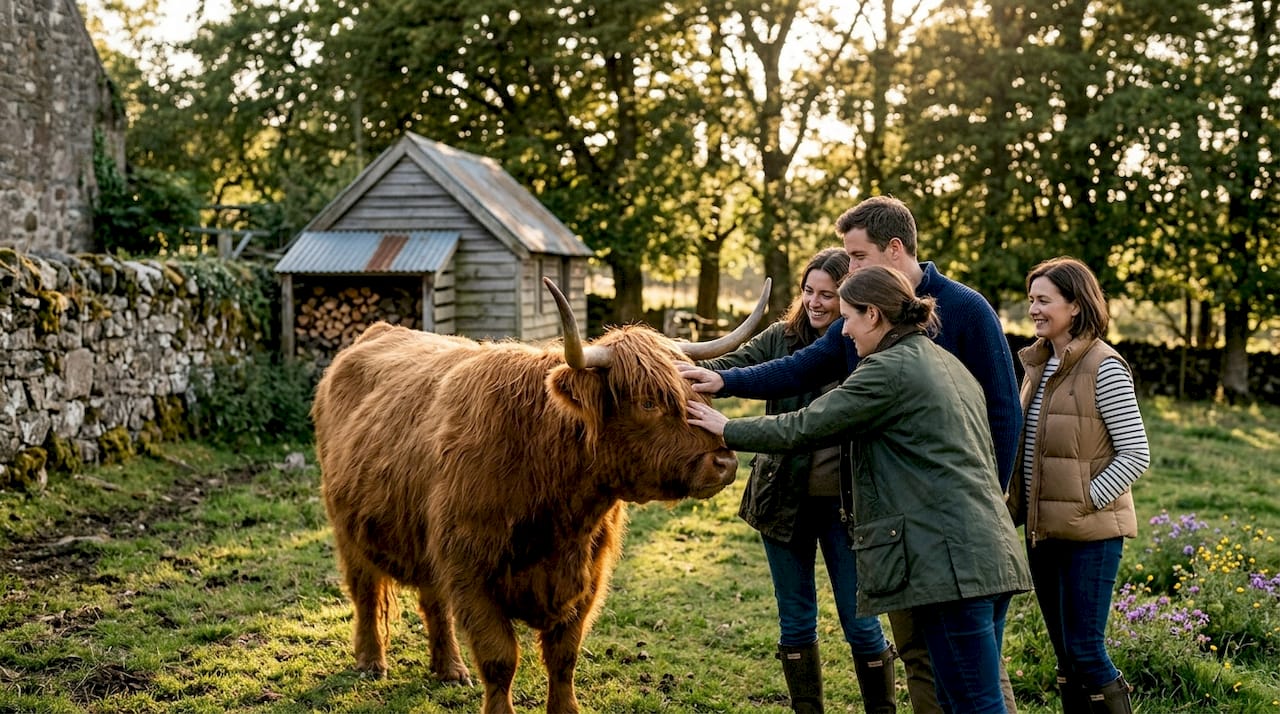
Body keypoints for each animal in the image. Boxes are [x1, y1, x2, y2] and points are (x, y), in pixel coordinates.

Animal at [312, 277, 771, 714]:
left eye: (700, 392)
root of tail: (376, 333)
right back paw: (371, 662)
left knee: (433, 601)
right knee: (366, 591)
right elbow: (500, 659)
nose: (724, 462)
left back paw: (451, 669)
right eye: (647, 402)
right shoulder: (471, 573)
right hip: (348, 529)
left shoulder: (587, 577)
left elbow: (564, 657)